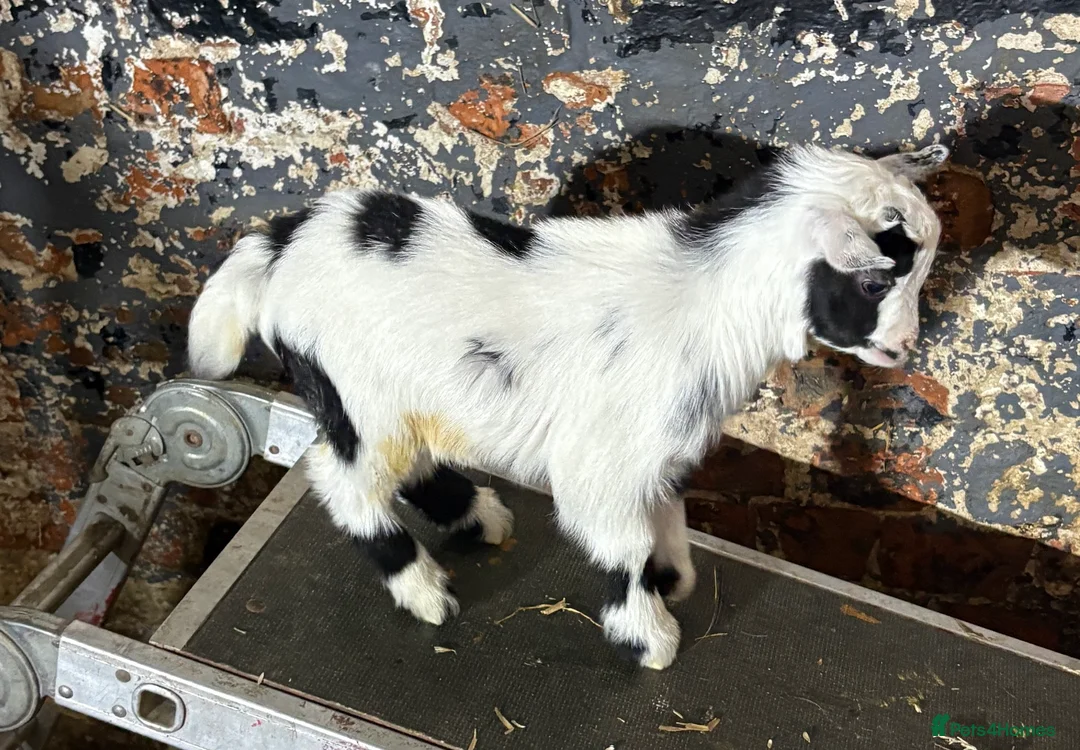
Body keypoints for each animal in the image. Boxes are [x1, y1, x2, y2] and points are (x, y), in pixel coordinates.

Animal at [187, 143, 948, 670]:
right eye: (876, 279)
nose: (907, 346)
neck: (705, 302)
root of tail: (279, 242)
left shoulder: (661, 450)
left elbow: (667, 518)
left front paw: (673, 580)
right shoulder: (604, 459)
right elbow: (622, 543)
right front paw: (649, 638)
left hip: (405, 398)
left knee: (412, 464)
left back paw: (479, 518)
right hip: (358, 396)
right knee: (345, 481)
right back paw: (423, 589)